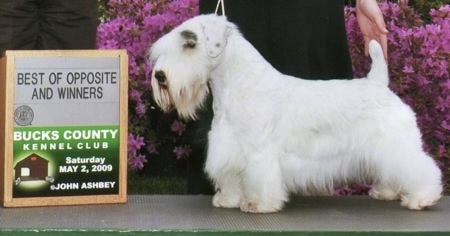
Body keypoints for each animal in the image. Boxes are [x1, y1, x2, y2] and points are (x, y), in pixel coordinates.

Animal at [151, 14, 442, 214]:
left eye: (190, 44)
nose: (160, 76)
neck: (239, 85)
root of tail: (379, 83)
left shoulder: (259, 152)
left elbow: (261, 178)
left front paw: (258, 203)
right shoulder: (228, 148)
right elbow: (231, 176)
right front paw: (229, 198)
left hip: (397, 145)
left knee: (419, 167)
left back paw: (421, 198)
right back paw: (387, 191)